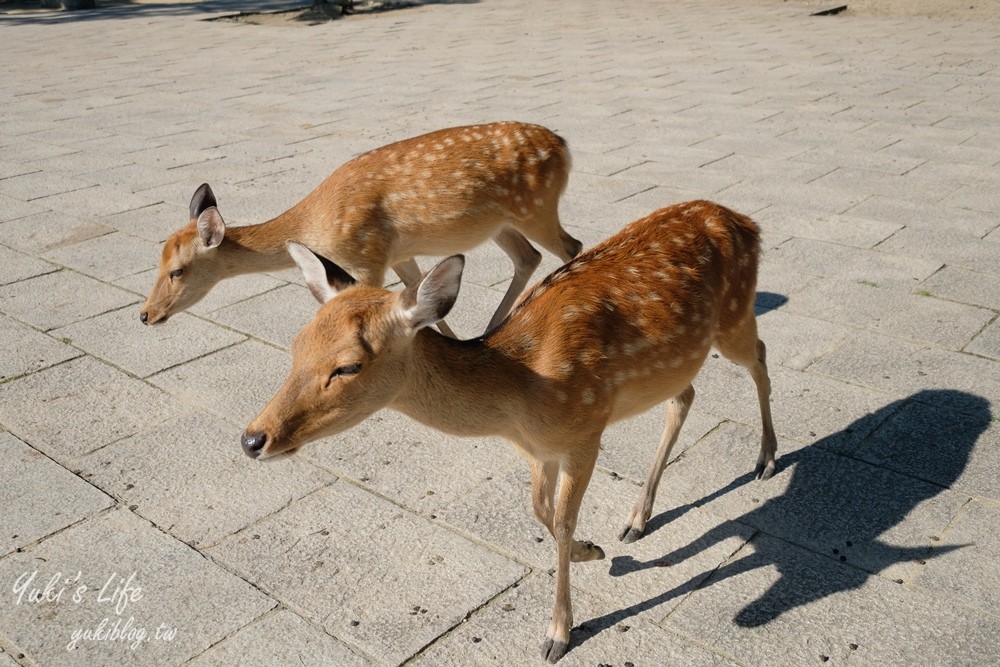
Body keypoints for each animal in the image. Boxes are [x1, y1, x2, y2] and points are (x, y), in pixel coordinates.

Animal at [137, 120, 584, 336]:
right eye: (155, 264)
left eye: (177, 271)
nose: (145, 315)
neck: (315, 223)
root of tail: (564, 146)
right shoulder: (398, 253)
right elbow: (419, 296)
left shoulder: (367, 255)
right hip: (500, 222)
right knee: (529, 256)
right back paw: (493, 326)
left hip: (535, 208)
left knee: (571, 246)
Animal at [242, 198, 780, 664]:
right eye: (297, 344)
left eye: (349, 366)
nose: (253, 439)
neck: (520, 400)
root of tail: (747, 221)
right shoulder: (539, 450)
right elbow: (540, 513)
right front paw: (594, 550)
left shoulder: (586, 430)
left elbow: (560, 523)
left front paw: (558, 634)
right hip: (681, 358)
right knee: (685, 396)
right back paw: (637, 518)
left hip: (734, 315)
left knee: (759, 355)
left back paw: (767, 459)